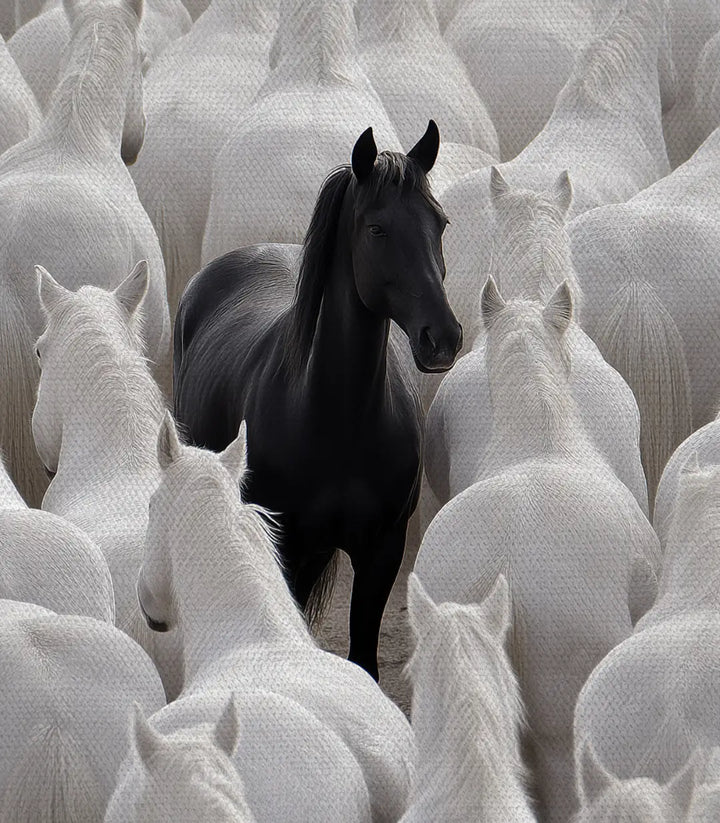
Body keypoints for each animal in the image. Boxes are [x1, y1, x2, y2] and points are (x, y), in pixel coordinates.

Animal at [174, 123, 462, 680]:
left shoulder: (382, 553)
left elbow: (365, 660)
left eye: (439, 223)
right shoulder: (286, 545)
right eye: (377, 229)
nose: (442, 338)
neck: (337, 419)